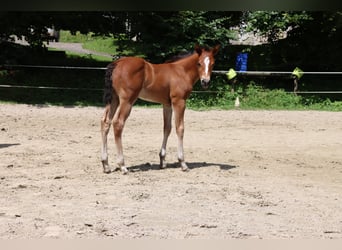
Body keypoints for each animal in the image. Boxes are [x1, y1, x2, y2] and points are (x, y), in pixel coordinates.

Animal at [100, 44, 220, 174]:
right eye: (199, 63)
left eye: (213, 63)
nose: (205, 82)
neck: (181, 72)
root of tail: (117, 63)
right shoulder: (179, 101)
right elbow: (180, 128)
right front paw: (183, 163)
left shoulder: (167, 104)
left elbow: (167, 128)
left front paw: (162, 161)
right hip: (127, 101)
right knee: (118, 123)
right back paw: (122, 165)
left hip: (114, 99)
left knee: (105, 122)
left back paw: (106, 165)